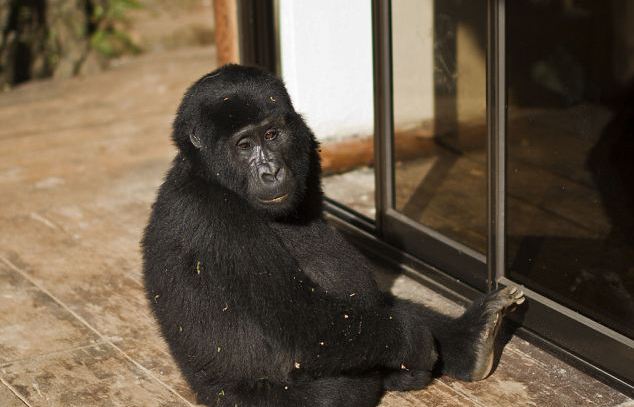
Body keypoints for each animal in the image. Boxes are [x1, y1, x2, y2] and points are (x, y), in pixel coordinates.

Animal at [143, 65, 524, 406]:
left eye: (272, 136)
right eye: (245, 145)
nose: (271, 172)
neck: (208, 174)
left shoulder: (304, 142)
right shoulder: (215, 219)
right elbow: (304, 327)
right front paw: (413, 342)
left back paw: (470, 339)